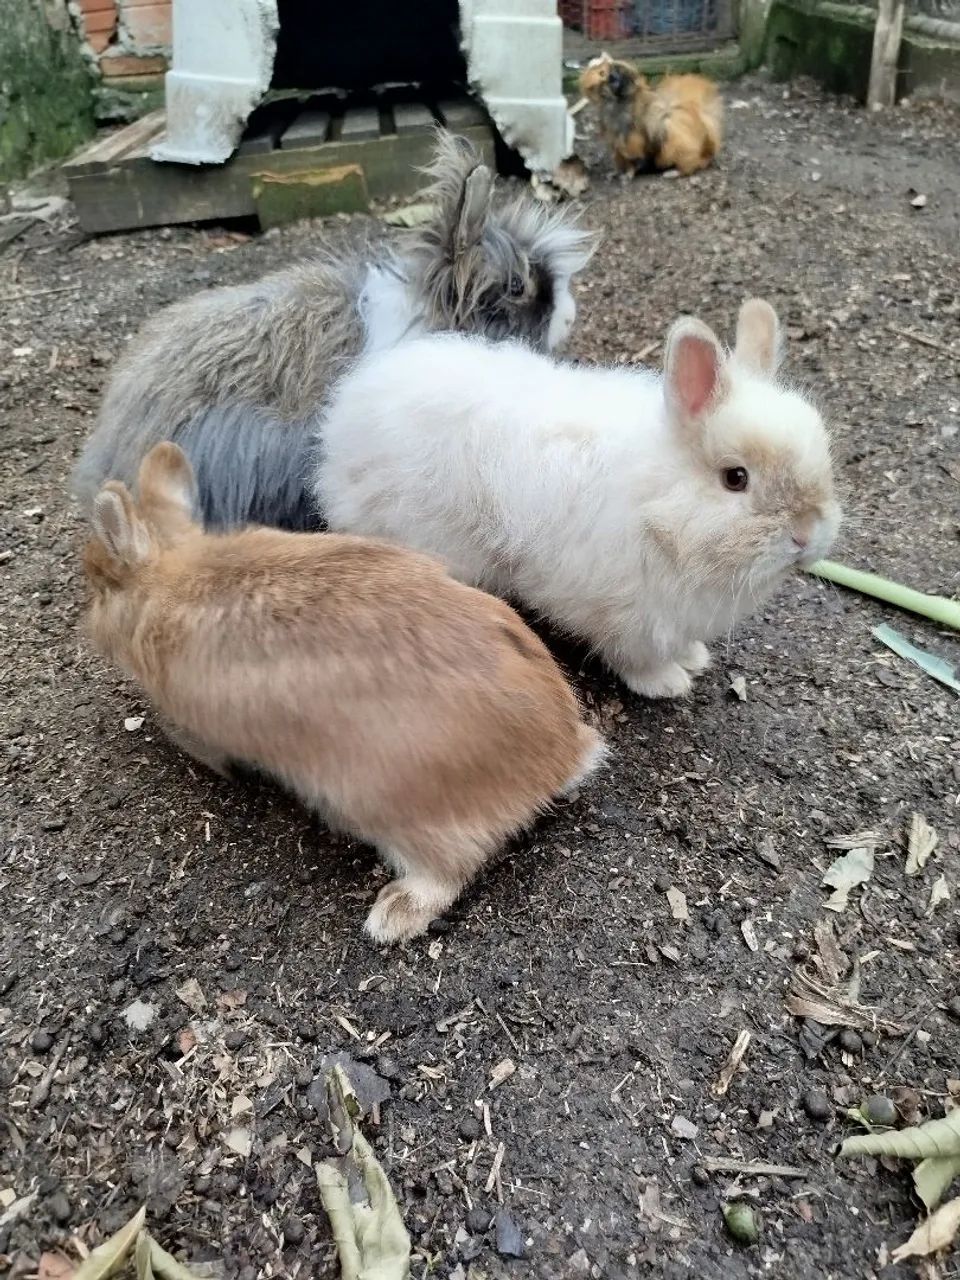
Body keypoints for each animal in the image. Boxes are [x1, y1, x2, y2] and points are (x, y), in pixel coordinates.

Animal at [83, 443, 604, 943]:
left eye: (99, 586)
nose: (88, 624)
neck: (168, 581)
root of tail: (561, 755)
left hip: (383, 807)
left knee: (451, 870)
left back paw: (391, 916)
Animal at [313, 299, 841, 699]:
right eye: (736, 478)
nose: (806, 536)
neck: (660, 508)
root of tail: (344, 420)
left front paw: (694, 658)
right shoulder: (624, 612)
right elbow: (633, 655)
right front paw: (667, 683)